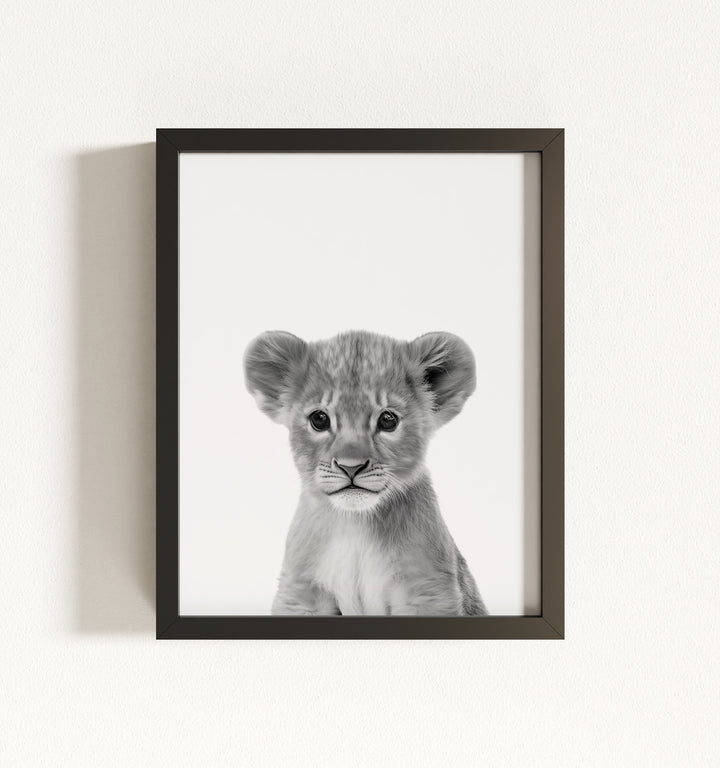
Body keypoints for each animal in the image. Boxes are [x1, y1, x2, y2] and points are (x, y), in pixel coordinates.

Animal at [244, 329, 487, 616]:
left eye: (388, 420)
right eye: (319, 419)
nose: (351, 466)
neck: (355, 524)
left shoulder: (427, 590)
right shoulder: (301, 593)